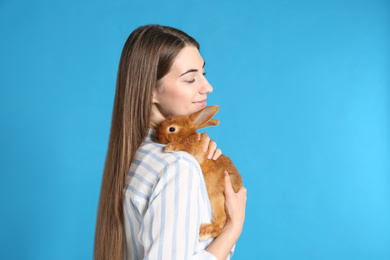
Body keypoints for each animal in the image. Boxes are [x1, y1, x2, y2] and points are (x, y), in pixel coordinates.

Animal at [156, 104, 242, 241]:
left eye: (172, 129)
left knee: (221, 223)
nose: (157, 137)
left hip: (217, 199)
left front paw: (169, 147)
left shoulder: (193, 149)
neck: (186, 136)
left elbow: (183, 147)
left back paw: (204, 232)